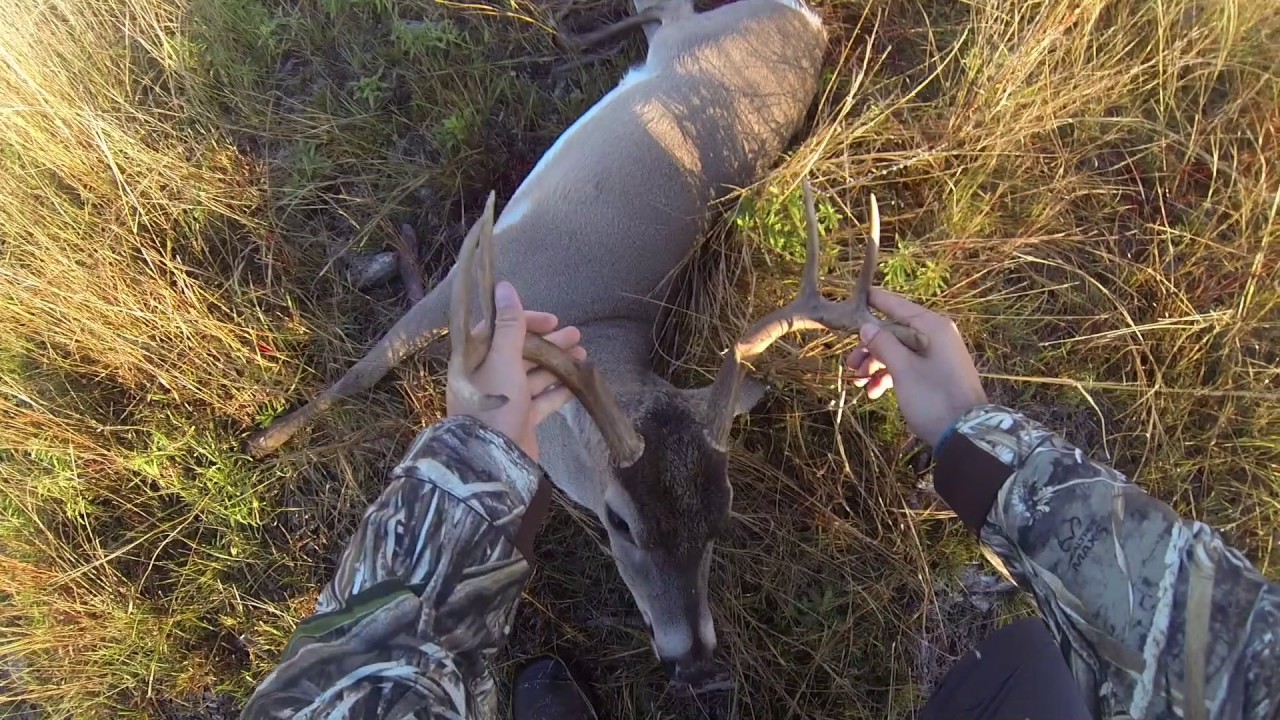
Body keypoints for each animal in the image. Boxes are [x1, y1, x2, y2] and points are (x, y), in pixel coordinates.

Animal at [246, 0, 924, 687]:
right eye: (619, 518)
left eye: (723, 514)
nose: (693, 660)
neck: (598, 326)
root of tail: (808, 19)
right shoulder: (470, 278)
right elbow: (364, 367)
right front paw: (265, 439)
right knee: (661, 12)